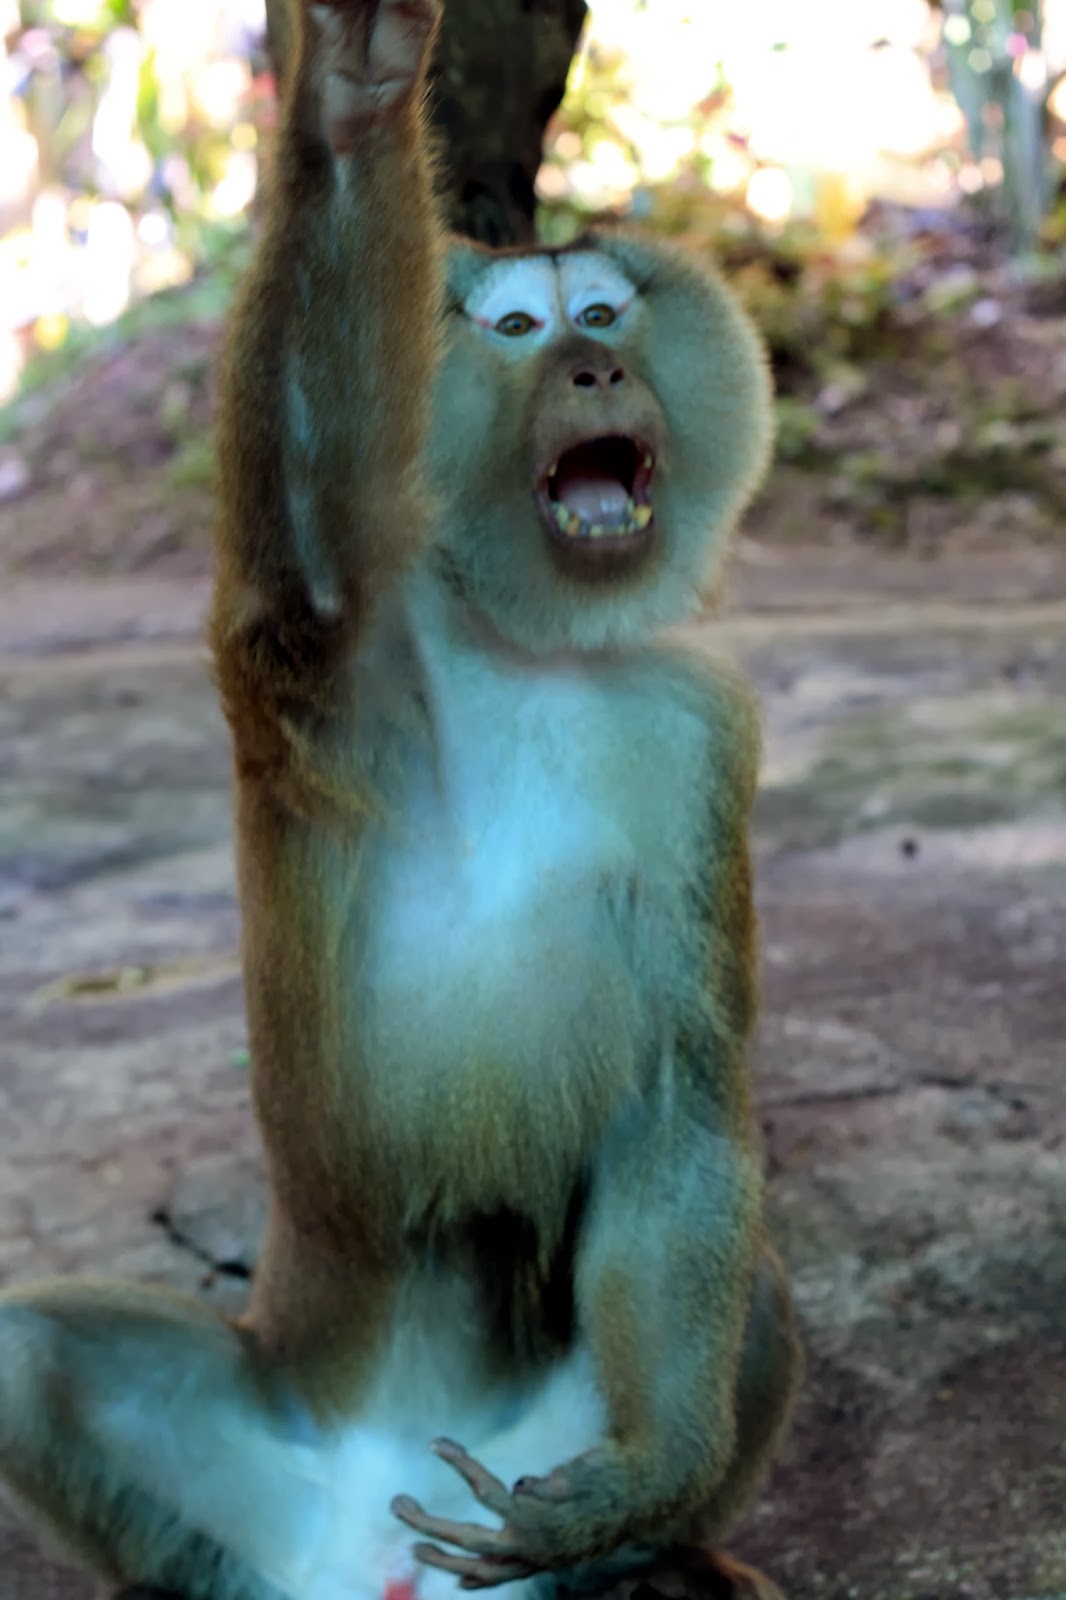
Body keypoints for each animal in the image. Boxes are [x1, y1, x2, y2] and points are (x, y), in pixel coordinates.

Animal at [0, 1, 801, 1597]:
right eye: (520, 332)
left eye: (603, 316)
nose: (595, 376)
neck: (523, 640)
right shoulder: (354, 651)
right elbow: (310, 577)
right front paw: (354, 96)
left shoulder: (698, 733)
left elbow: (677, 1103)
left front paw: (645, 1487)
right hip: (273, 1446)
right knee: (23, 1358)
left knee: (752, 1298)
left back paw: (650, 1558)